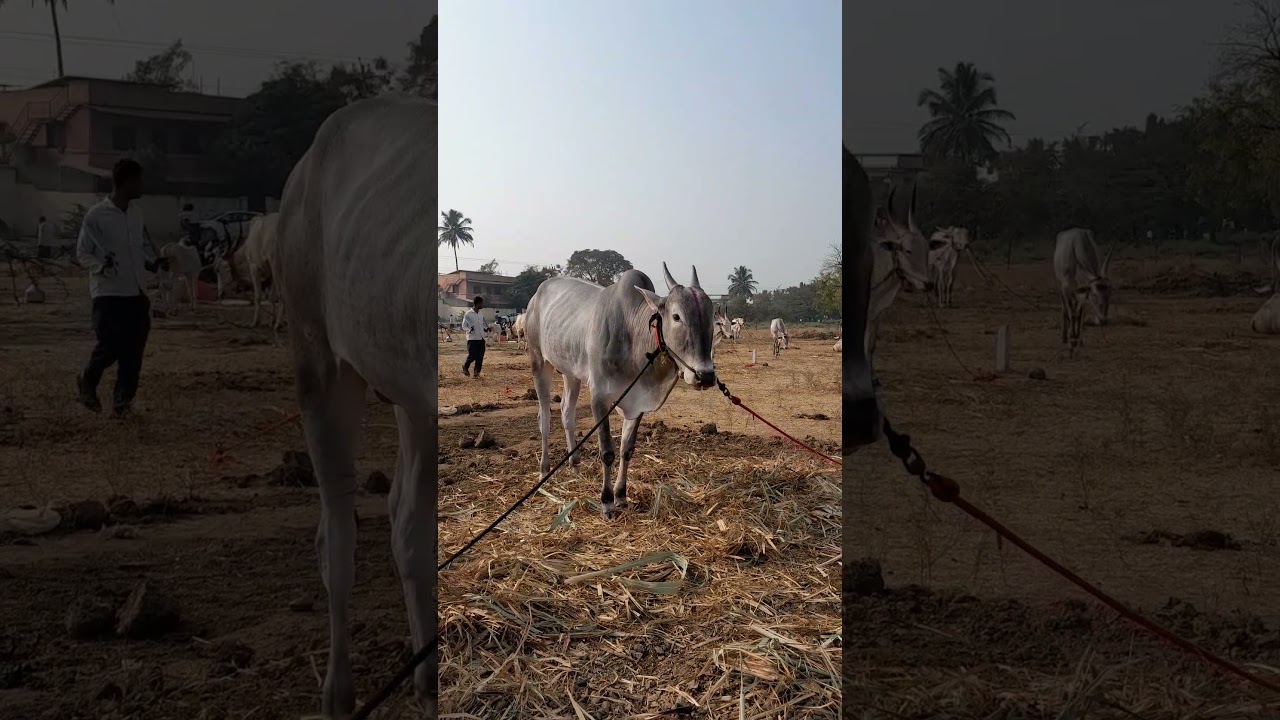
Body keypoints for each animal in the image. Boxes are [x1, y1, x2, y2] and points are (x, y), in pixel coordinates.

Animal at [273, 92, 438, 719]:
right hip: (317, 357)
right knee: (337, 536)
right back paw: (338, 693)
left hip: (409, 388)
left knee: (406, 524)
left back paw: (427, 680)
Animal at [525, 262, 717, 519]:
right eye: (677, 316)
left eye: (711, 318)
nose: (705, 375)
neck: (633, 335)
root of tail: (538, 292)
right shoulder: (599, 397)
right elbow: (607, 451)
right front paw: (606, 502)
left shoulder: (638, 403)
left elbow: (627, 449)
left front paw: (621, 496)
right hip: (539, 362)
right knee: (544, 417)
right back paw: (544, 469)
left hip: (570, 371)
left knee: (566, 412)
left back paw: (575, 466)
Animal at [1053, 227, 1113, 355]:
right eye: (1094, 295)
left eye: (1109, 294)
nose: (1103, 320)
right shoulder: (1066, 288)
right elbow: (1071, 313)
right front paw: (1071, 340)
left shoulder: (1083, 292)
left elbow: (1080, 314)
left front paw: (1079, 340)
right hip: (1059, 284)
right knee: (1065, 308)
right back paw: (1064, 336)